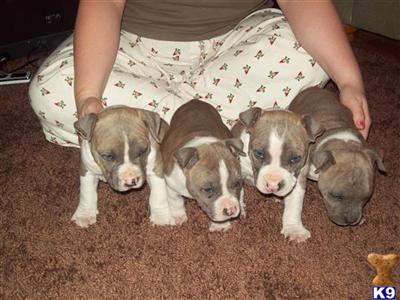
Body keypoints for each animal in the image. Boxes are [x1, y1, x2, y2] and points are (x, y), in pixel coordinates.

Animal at [161, 99, 245, 231]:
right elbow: (175, 201)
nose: (231, 210)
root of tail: (194, 100)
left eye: (237, 183)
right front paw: (179, 216)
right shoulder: (171, 184)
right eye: (207, 189)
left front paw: (220, 225)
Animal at [231, 108, 322, 241]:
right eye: (258, 153)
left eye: (295, 158)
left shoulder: (298, 178)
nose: (273, 185)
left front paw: (295, 230)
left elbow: (294, 204)